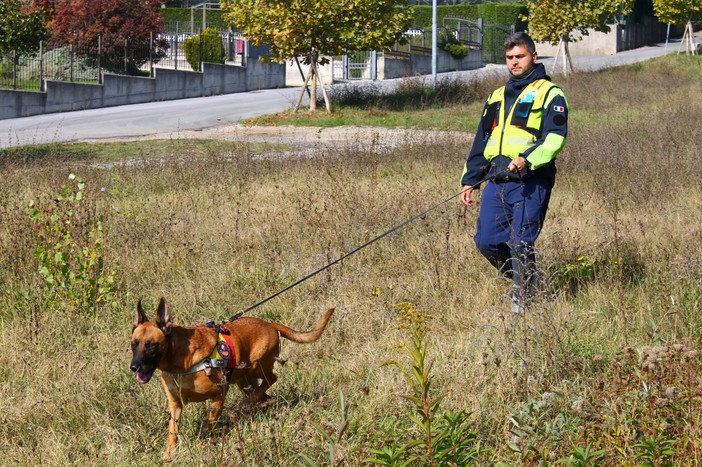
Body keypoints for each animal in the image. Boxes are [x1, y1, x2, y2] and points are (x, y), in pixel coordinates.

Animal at [131, 298, 336, 462]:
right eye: (134, 343)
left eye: (151, 345)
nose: (134, 367)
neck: (180, 360)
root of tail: (270, 324)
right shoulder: (175, 405)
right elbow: (172, 433)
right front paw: (169, 454)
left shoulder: (219, 395)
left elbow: (209, 424)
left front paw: (205, 443)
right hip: (244, 381)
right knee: (262, 393)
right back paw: (257, 405)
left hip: (257, 366)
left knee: (271, 378)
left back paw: (248, 405)